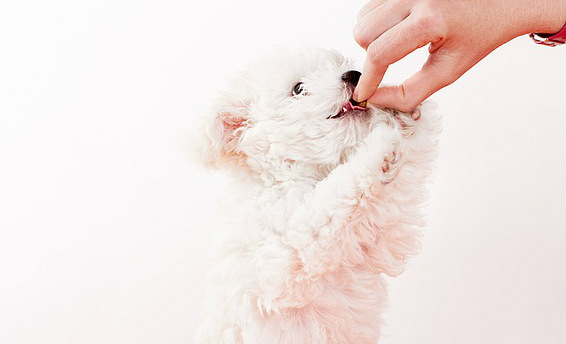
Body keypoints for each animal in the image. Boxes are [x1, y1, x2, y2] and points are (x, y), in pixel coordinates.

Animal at [197, 46, 442, 344]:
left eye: (340, 65)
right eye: (298, 89)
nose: (353, 75)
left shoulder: (383, 236)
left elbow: (400, 181)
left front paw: (402, 114)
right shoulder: (290, 247)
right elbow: (337, 194)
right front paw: (380, 141)